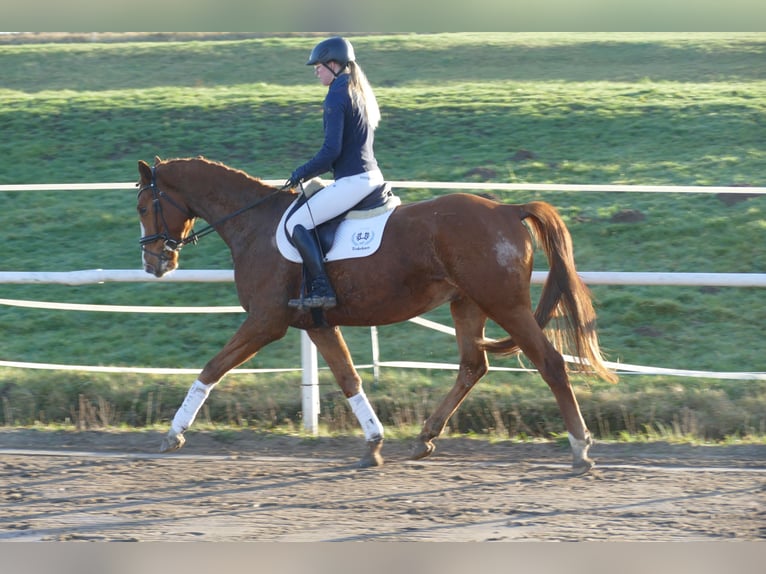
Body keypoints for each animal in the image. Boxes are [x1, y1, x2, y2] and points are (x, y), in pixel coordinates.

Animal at [136, 156, 617, 474]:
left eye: (143, 207)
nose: (154, 263)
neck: (255, 225)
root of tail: (506, 209)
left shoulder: (265, 321)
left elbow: (212, 367)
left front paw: (173, 434)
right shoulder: (317, 324)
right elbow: (349, 378)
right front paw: (373, 442)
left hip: (505, 304)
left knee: (549, 364)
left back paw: (580, 448)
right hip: (467, 304)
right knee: (471, 366)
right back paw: (424, 438)